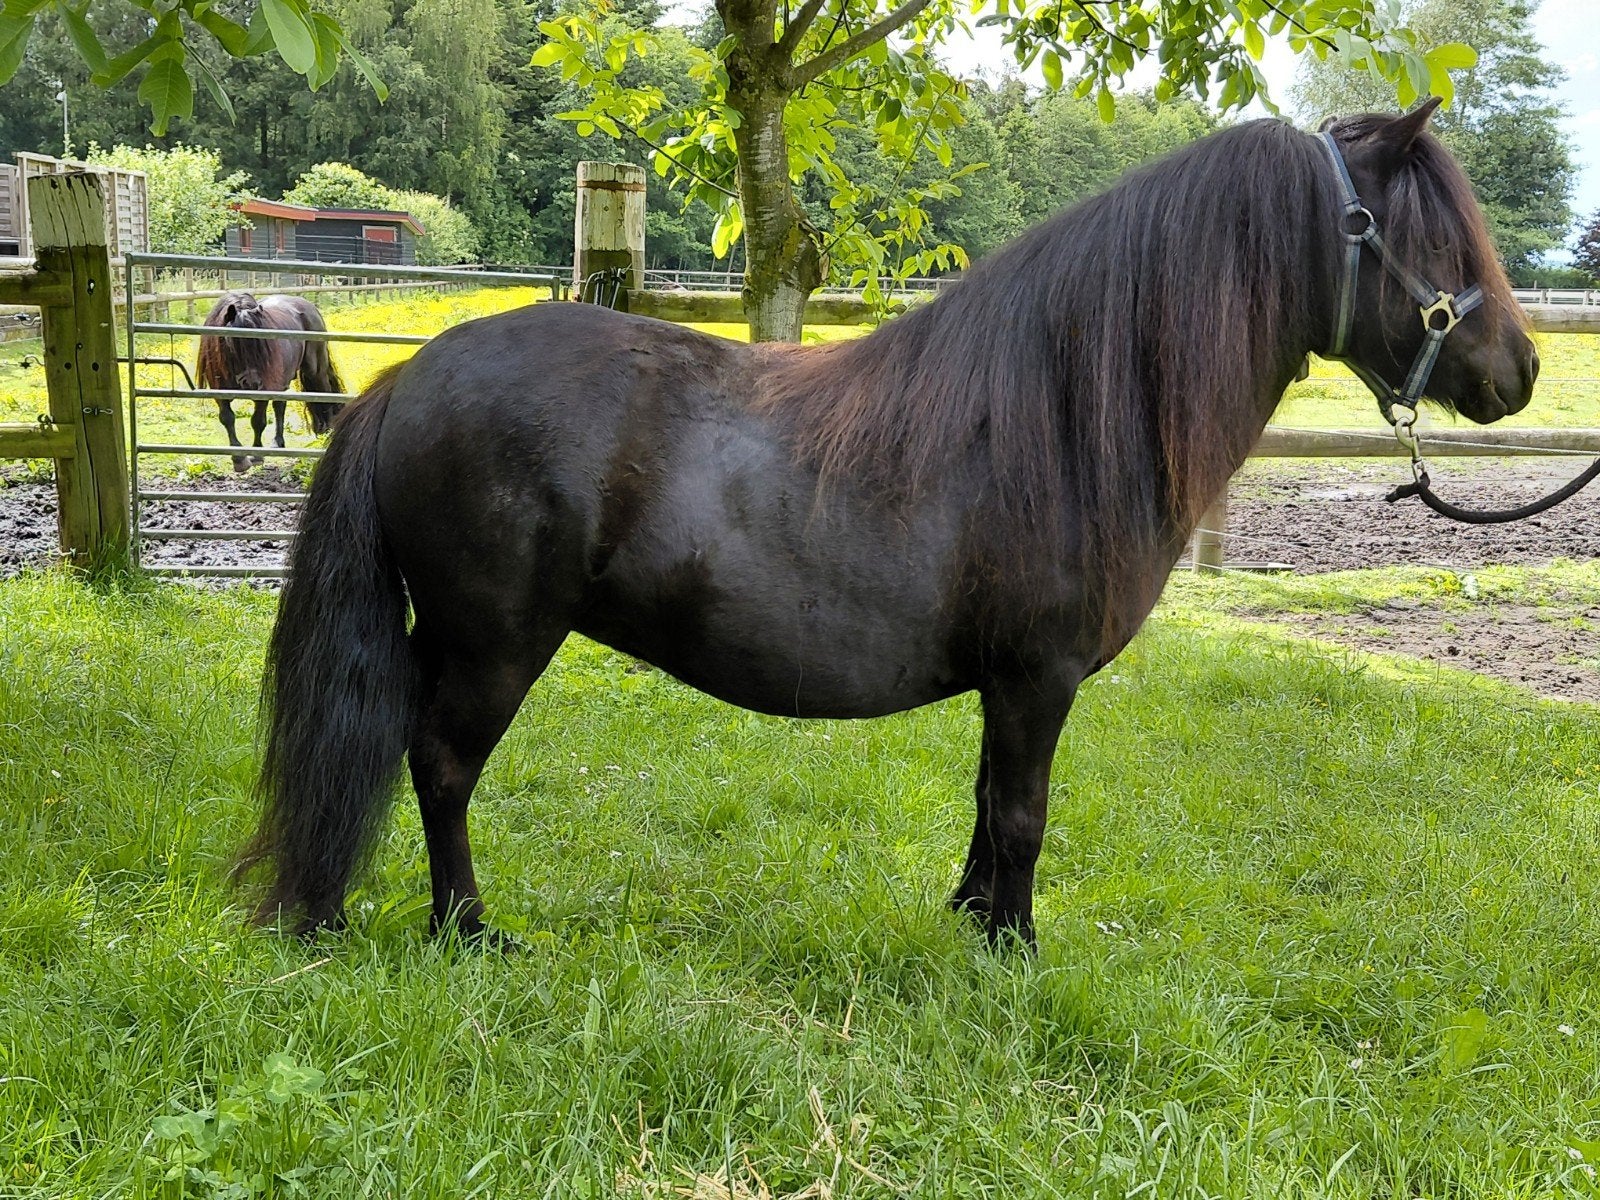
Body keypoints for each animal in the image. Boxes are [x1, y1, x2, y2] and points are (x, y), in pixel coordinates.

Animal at [196, 292, 344, 472]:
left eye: (261, 342)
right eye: (232, 340)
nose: (252, 384)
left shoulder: (263, 390)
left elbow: (257, 421)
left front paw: (257, 455)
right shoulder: (220, 393)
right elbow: (227, 418)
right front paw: (239, 459)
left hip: (314, 370)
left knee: (324, 392)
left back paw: (327, 433)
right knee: (280, 407)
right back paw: (277, 443)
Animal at [242, 102, 1539, 949]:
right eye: (1435, 235)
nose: (1518, 371)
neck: (1061, 412)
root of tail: (408, 379)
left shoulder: (1008, 686)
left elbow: (985, 809)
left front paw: (969, 928)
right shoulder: (1036, 678)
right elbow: (1022, 815)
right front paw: (1013, 955)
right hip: (495, 640)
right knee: (441, 763)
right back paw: (466, 931)